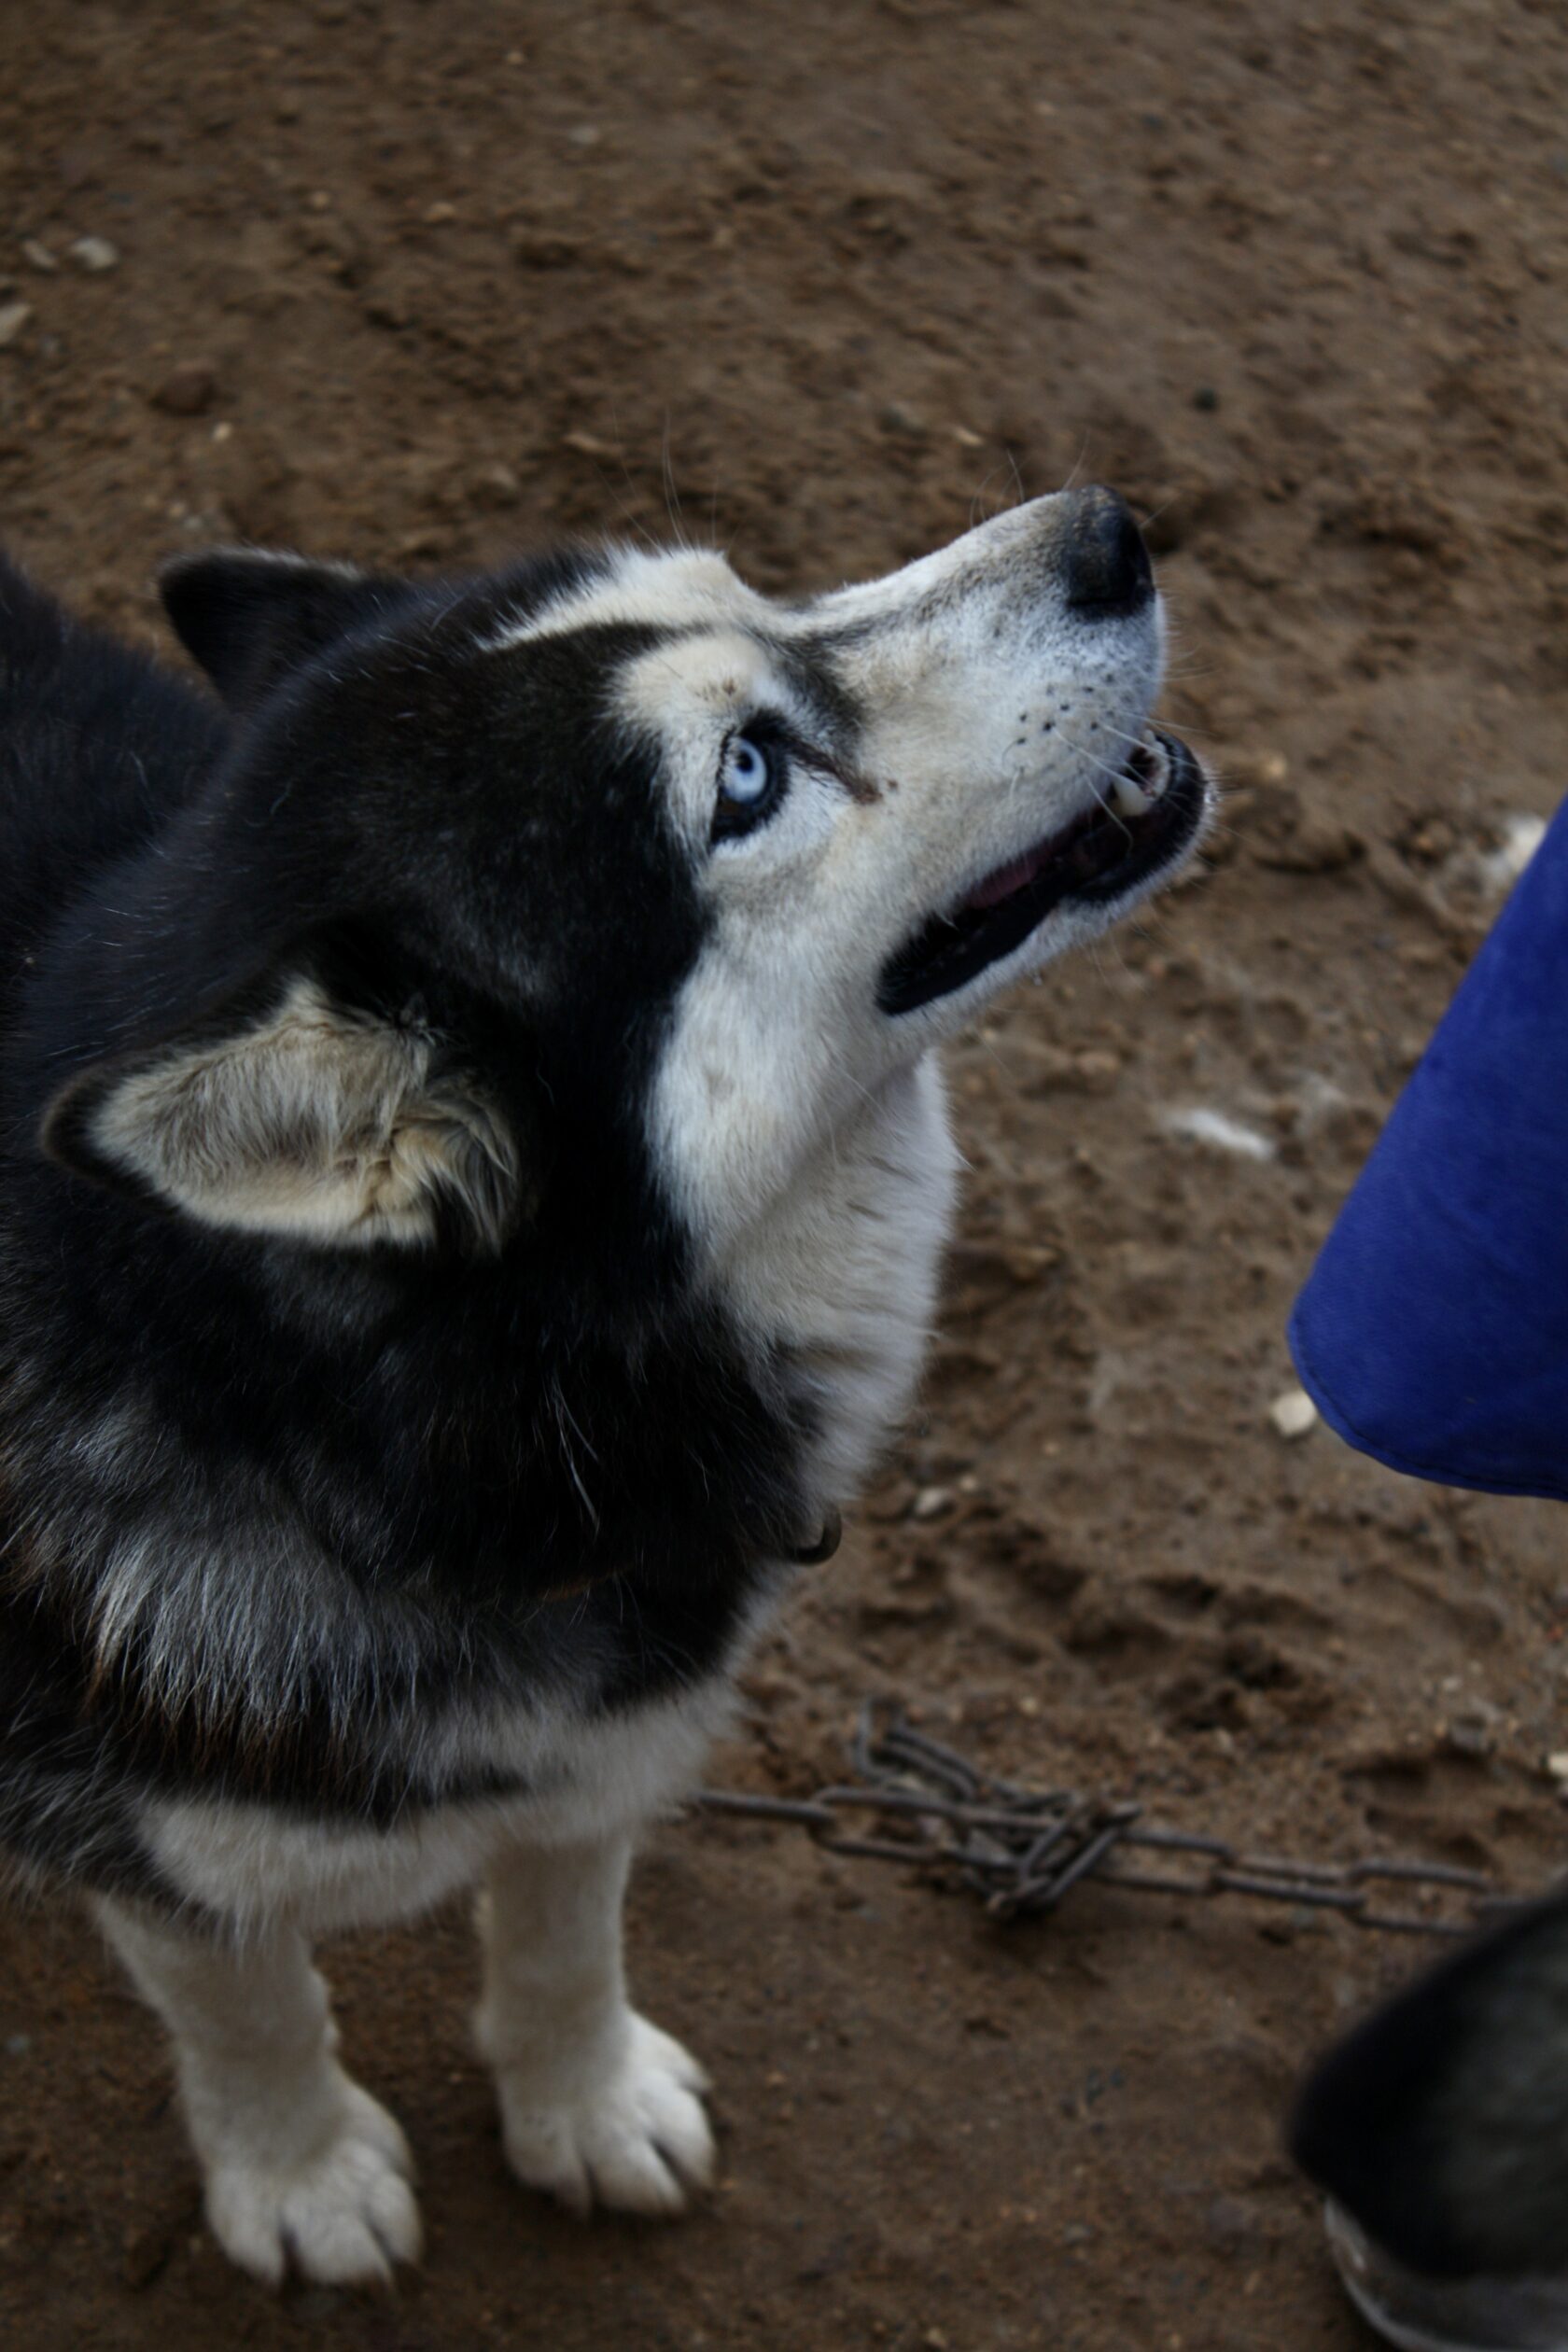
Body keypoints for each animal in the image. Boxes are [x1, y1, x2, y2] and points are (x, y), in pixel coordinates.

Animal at [0, 491, 1212, 2276]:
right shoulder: (164, 1856)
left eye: (754, 584)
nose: (1108, 530)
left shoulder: (603, 1754)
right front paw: (299, 2174)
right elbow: (252, 2010)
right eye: (748, 777)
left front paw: (582, 2107)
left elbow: (570, 1937)